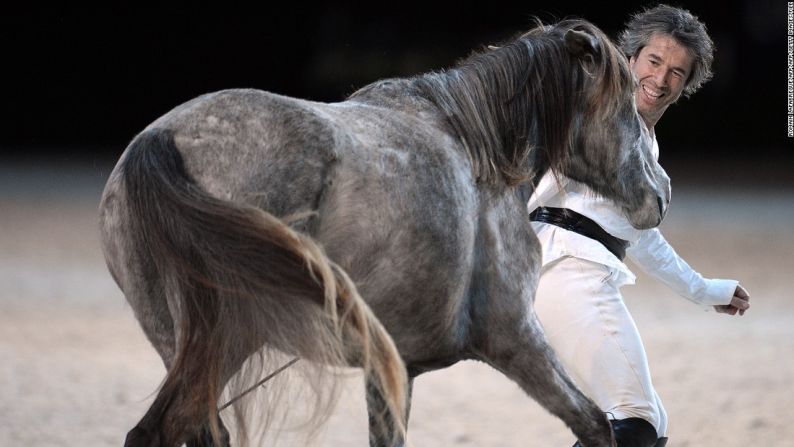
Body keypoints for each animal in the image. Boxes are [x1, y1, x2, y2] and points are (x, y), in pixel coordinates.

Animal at [99, 18, 668, 447]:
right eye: (626, 103)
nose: (660, 193)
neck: (477, 147)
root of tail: (160, 140)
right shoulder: (514, 339)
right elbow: (595, 426)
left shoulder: (397, 367)